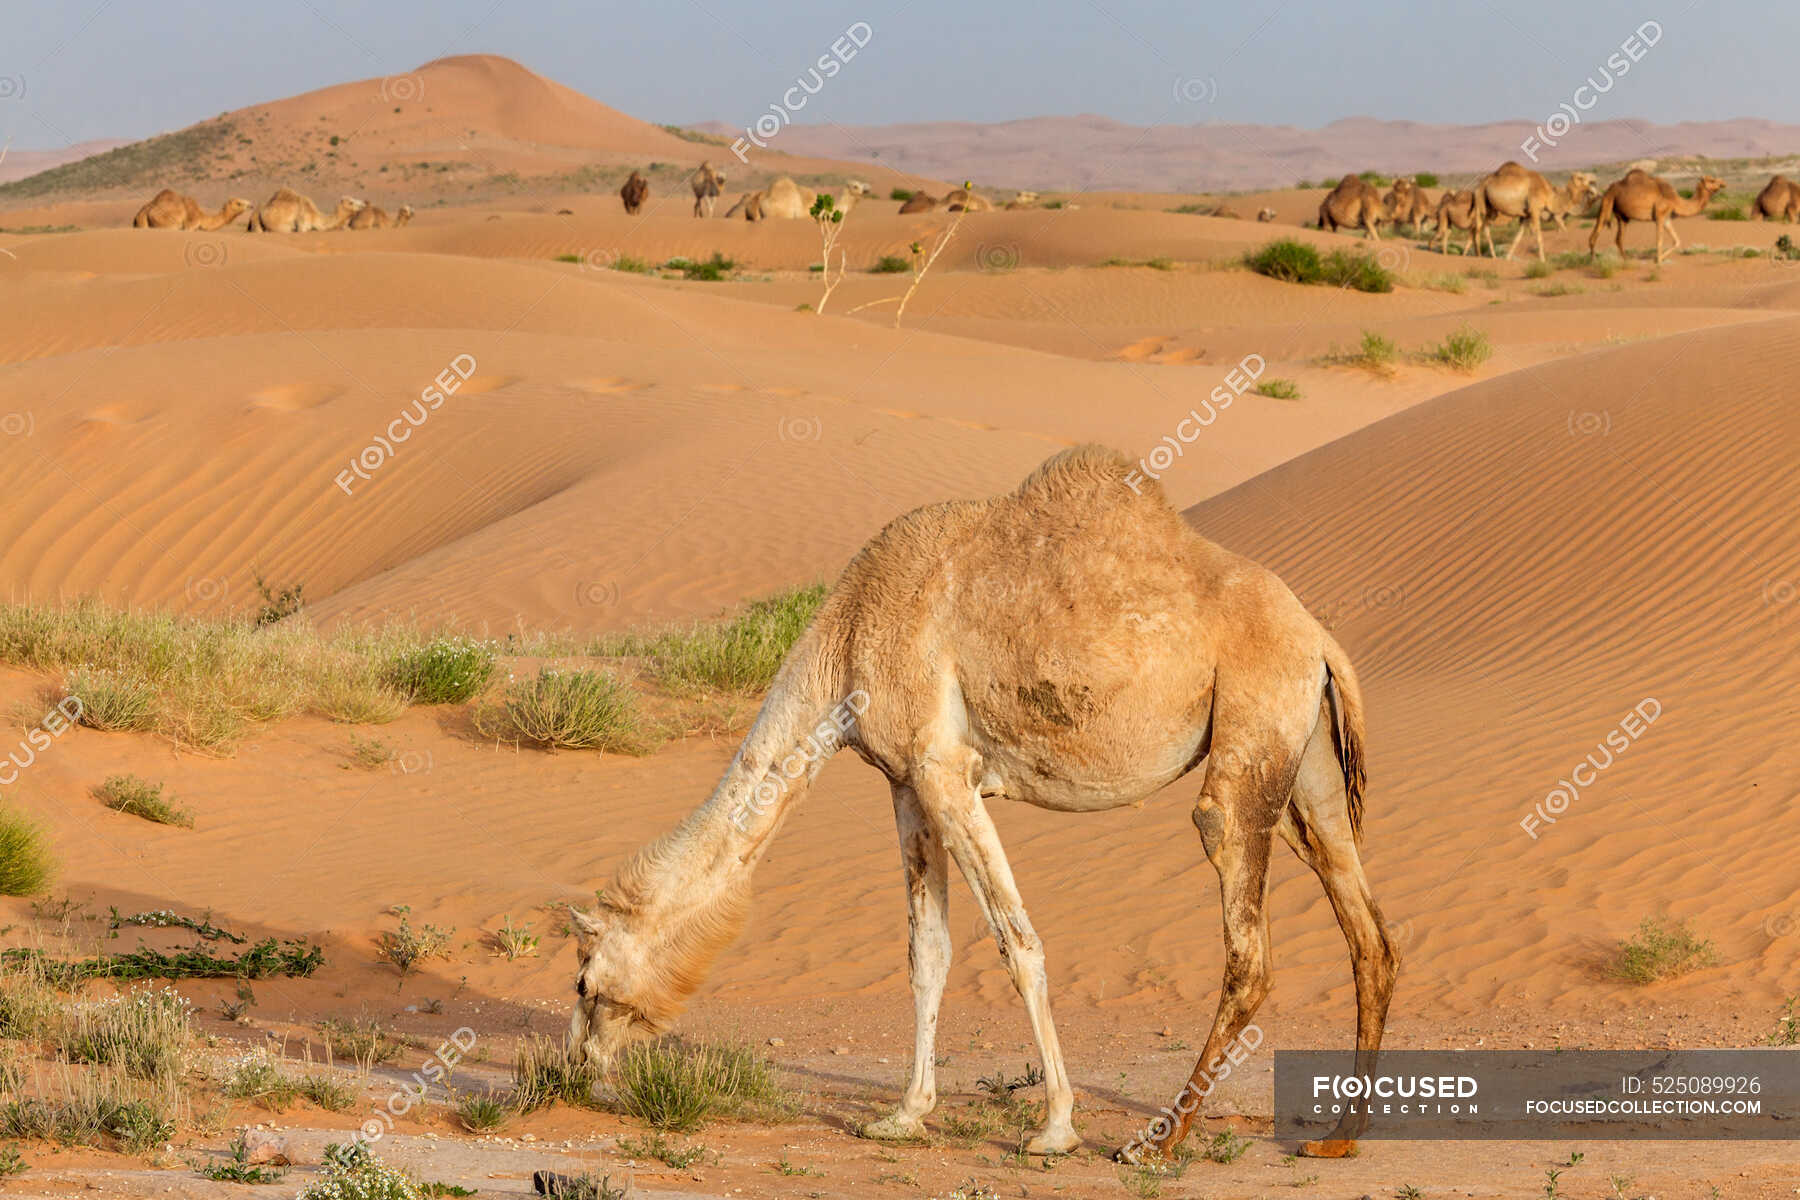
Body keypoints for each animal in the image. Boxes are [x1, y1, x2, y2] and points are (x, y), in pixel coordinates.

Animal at [568, 445, 1396, 1163]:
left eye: (583, 981)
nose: (572, 1067)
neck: (845, 642)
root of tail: (1320, 638)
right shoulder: (904, 782)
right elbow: (927, 951)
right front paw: (903, 1115)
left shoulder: (946, 770)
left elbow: (1015, 942)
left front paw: (1054, 1128)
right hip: (1306, 764)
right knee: (1368, 933)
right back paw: (1338, 1137)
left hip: (1254, 727)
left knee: (1244, 928)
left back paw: (1155, 1144)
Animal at [1588, 169, 1725, 264]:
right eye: (1712, 180)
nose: (1723, 183)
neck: (1675, 200)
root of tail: (1609, 188)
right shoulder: (1659, 215)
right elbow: (1659, 240)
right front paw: (1658, 261)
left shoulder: (1667, 219)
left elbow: (1677, 241)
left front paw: (1656, 259)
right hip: (1607, 202)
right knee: (1595, 233)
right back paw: (1593, 261)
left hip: (1623, 216)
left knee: (1618, 238)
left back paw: (1627, 260)